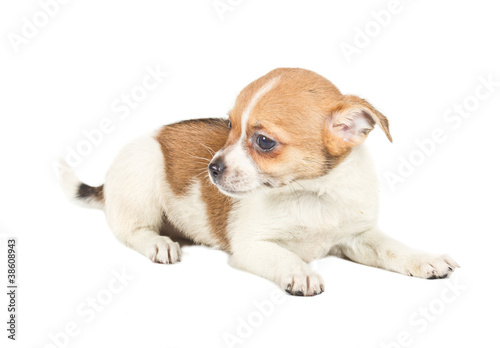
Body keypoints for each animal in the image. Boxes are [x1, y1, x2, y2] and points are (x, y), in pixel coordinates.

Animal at [60, 68, 458, 296]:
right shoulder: (252, 245)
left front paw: (424, 259)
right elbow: (283, 255)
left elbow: (392, 247)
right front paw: (300, 272)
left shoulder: (359, 236)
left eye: (264, 142)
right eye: (229, 125)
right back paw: (158, 243)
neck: (310, 193)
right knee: (131, 231)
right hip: (142, 177)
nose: (211, 168)